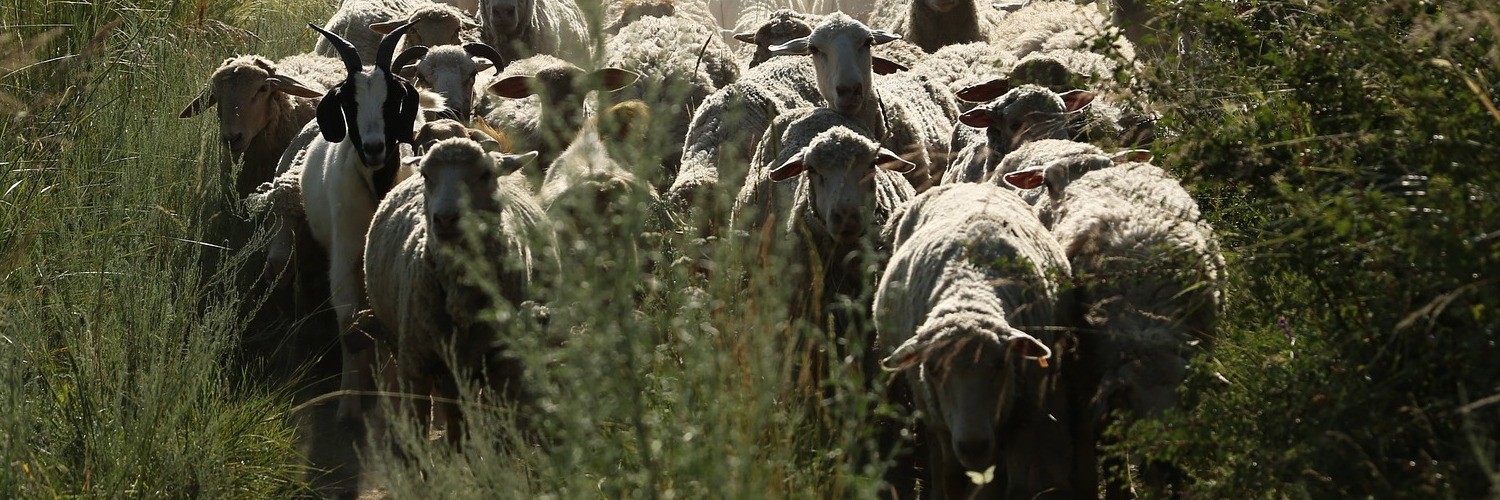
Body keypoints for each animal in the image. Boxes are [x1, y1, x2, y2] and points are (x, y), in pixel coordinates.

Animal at [295, 22, 447, 420]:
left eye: (391, 100)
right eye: (350, 103)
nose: (375, 147)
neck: (375, 187)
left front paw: (388, 394)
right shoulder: (345, 259)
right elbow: (350, 326)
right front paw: (348, 403)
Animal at [363, 137, 558, 444]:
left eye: (485, 175)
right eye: (426, 176)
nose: (444, 219)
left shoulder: (502, 364)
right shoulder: (414, 365)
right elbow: (418, 428)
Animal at [870, 180, 1092, 495]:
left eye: (1001, 365)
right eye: (933, 369)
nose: (973, 446)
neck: (970, 286)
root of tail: (968, 184)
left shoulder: (1025, 417)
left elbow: (1014, 487)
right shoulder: (943, 421)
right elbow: (951, 479)